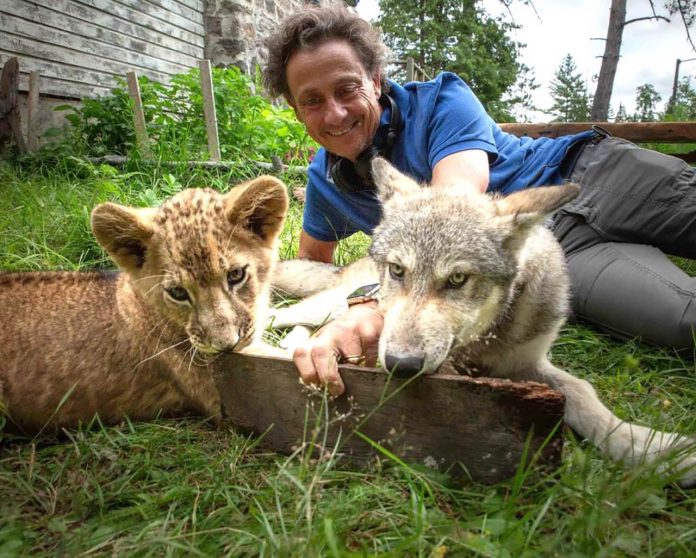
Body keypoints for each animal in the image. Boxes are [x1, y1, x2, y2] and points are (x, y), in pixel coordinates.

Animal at [270, 158, 696, 487]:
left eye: (458, 279)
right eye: (398, 270)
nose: (401, 366)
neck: (483, 344)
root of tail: (346, 267)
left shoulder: (531, 364)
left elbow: (585, 396)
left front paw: (656, 450)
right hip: (323, 307)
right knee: (282, 316)